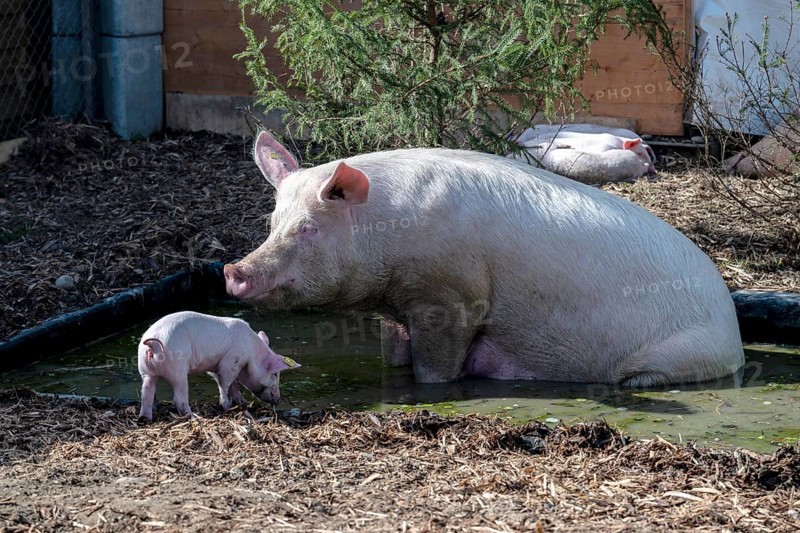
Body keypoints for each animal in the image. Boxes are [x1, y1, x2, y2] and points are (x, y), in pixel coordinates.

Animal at [137, 311, 300, 421]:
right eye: (276, 374)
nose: (278, 400)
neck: (251, 353)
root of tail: (153, 344)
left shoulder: (219, 367)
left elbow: (232, 385)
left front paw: (243, 403)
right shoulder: (230, 362)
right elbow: (225, 384)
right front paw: (226, 406)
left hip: (145, 371)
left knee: (146, 394)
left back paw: (145, 419)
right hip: (178, 370)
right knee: (179, 398)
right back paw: (194, 416)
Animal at [224, 131, 744, 388]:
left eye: (308, 228)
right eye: (273, 222)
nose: (234, 271)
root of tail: (734, 331)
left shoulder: (452, 298)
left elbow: (435, 368)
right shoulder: (398, 309)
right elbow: (393, 354)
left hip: (682, 353)